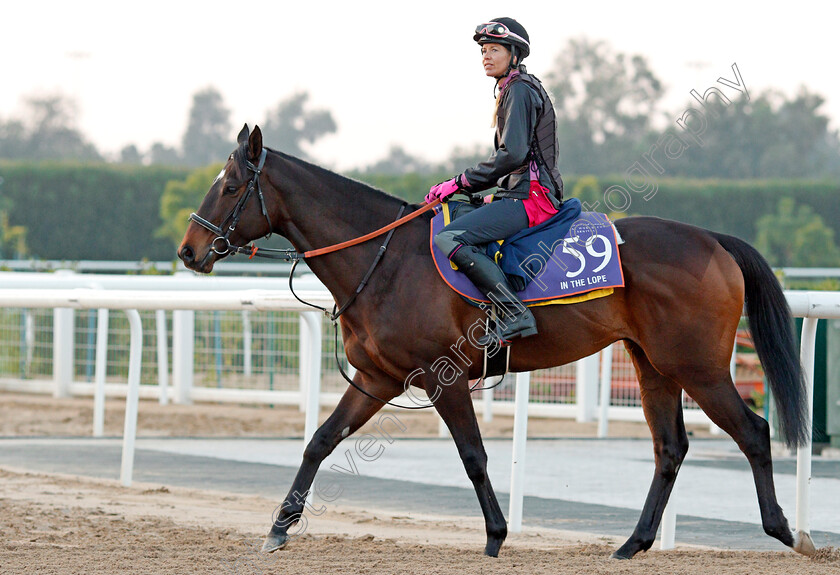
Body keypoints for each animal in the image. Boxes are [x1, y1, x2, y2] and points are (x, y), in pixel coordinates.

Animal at [177, 125, 812, 560]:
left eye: (229, 186)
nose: (188, 251)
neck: (386, 260)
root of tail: (714, 240)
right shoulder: (378, 378)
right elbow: (319, 442)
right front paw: (278, 528)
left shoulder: (442, 379)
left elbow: (473, 456)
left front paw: (495, 536)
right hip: (653, 364)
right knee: (670, 448)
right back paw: (632, 543)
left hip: (697, 366)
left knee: (753, 431)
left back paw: (786, 532)